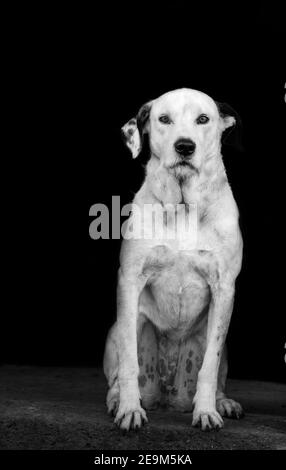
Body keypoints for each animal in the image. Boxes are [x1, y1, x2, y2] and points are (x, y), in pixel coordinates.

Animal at [103, 88, 244, 430]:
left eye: (203, 119)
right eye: (164, 119)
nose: (184, 146)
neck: (183, 208)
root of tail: (168, 395)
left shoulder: (224, 289)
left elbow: (209, 367)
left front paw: (206, 411)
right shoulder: (130, 281)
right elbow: (129, 363)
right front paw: (129, 409)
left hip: (220, 343)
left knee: (217, 375)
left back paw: (223, 402)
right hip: (120, 330)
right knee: (117, 375)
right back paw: (118, 400)